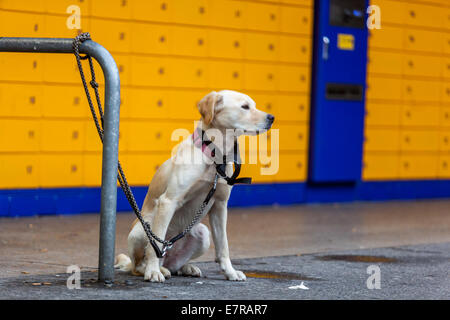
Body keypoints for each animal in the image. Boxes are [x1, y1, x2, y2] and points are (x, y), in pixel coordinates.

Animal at [114, 89, 274, 282]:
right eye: (245, 106)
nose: (272, 118)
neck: (214, 157)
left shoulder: (220, 206)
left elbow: (223, 246)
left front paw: (230, 272)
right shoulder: (168, 201)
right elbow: (155, 245)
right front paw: (152, 271)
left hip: (203, 234)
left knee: (174, 264)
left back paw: (185, 268)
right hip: (142, 229)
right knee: (142, 262)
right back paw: (155, 269)